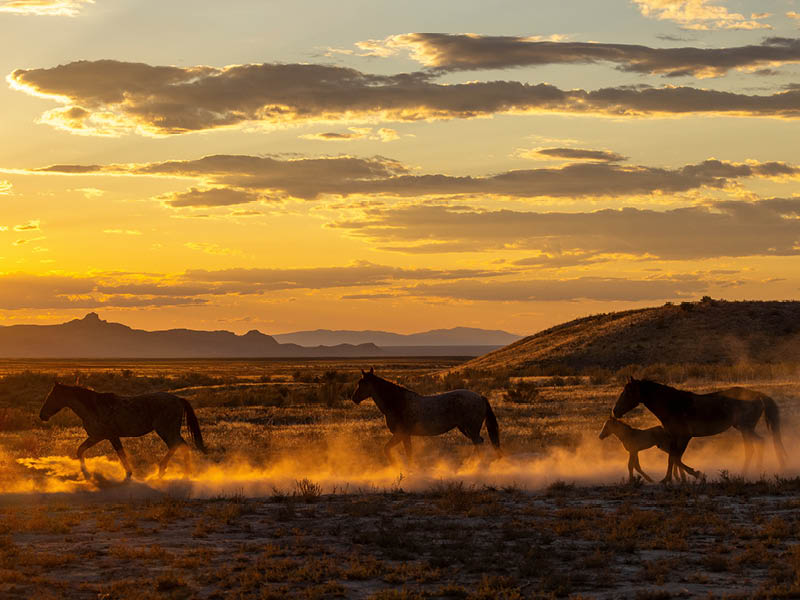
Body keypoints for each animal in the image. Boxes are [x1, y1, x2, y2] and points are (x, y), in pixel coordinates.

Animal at [39, 382, 206, 480]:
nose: (42, 415)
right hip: (170, 431)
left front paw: (128, 474)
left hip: (166, 430)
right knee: (182, 446)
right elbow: (80, 450)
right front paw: (86, 473)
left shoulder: (109, 436)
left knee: (177, 445)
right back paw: (186, 473)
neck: (93, 408)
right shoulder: (97, 437)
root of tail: (178, 399)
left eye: (51, 397)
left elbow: (121, 454)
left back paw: (162, 471)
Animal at [351, 368, 501, 462]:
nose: (354, 398)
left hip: (471, 429)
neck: (398, 402)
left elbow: (389, 450)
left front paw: (397, 465)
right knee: (478, 443)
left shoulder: (401, 434)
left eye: (362, 383)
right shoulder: (405, 436)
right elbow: (405, 452)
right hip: (466, 429)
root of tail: (480, 397)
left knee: (478, 443)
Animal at [613, 377, 787, 483]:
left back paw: (759, 472)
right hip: (744, 429)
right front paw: (668, 479)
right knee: (751, 448)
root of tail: (757, 395)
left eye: (628, 392)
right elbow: (672, 458)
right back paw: (746, 473)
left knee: (760, 443)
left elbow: (676, 458)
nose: (615, 411)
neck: (673, 404)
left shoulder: (684, 436)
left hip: (746, 428)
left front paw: (696, 474)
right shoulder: (674, 437)